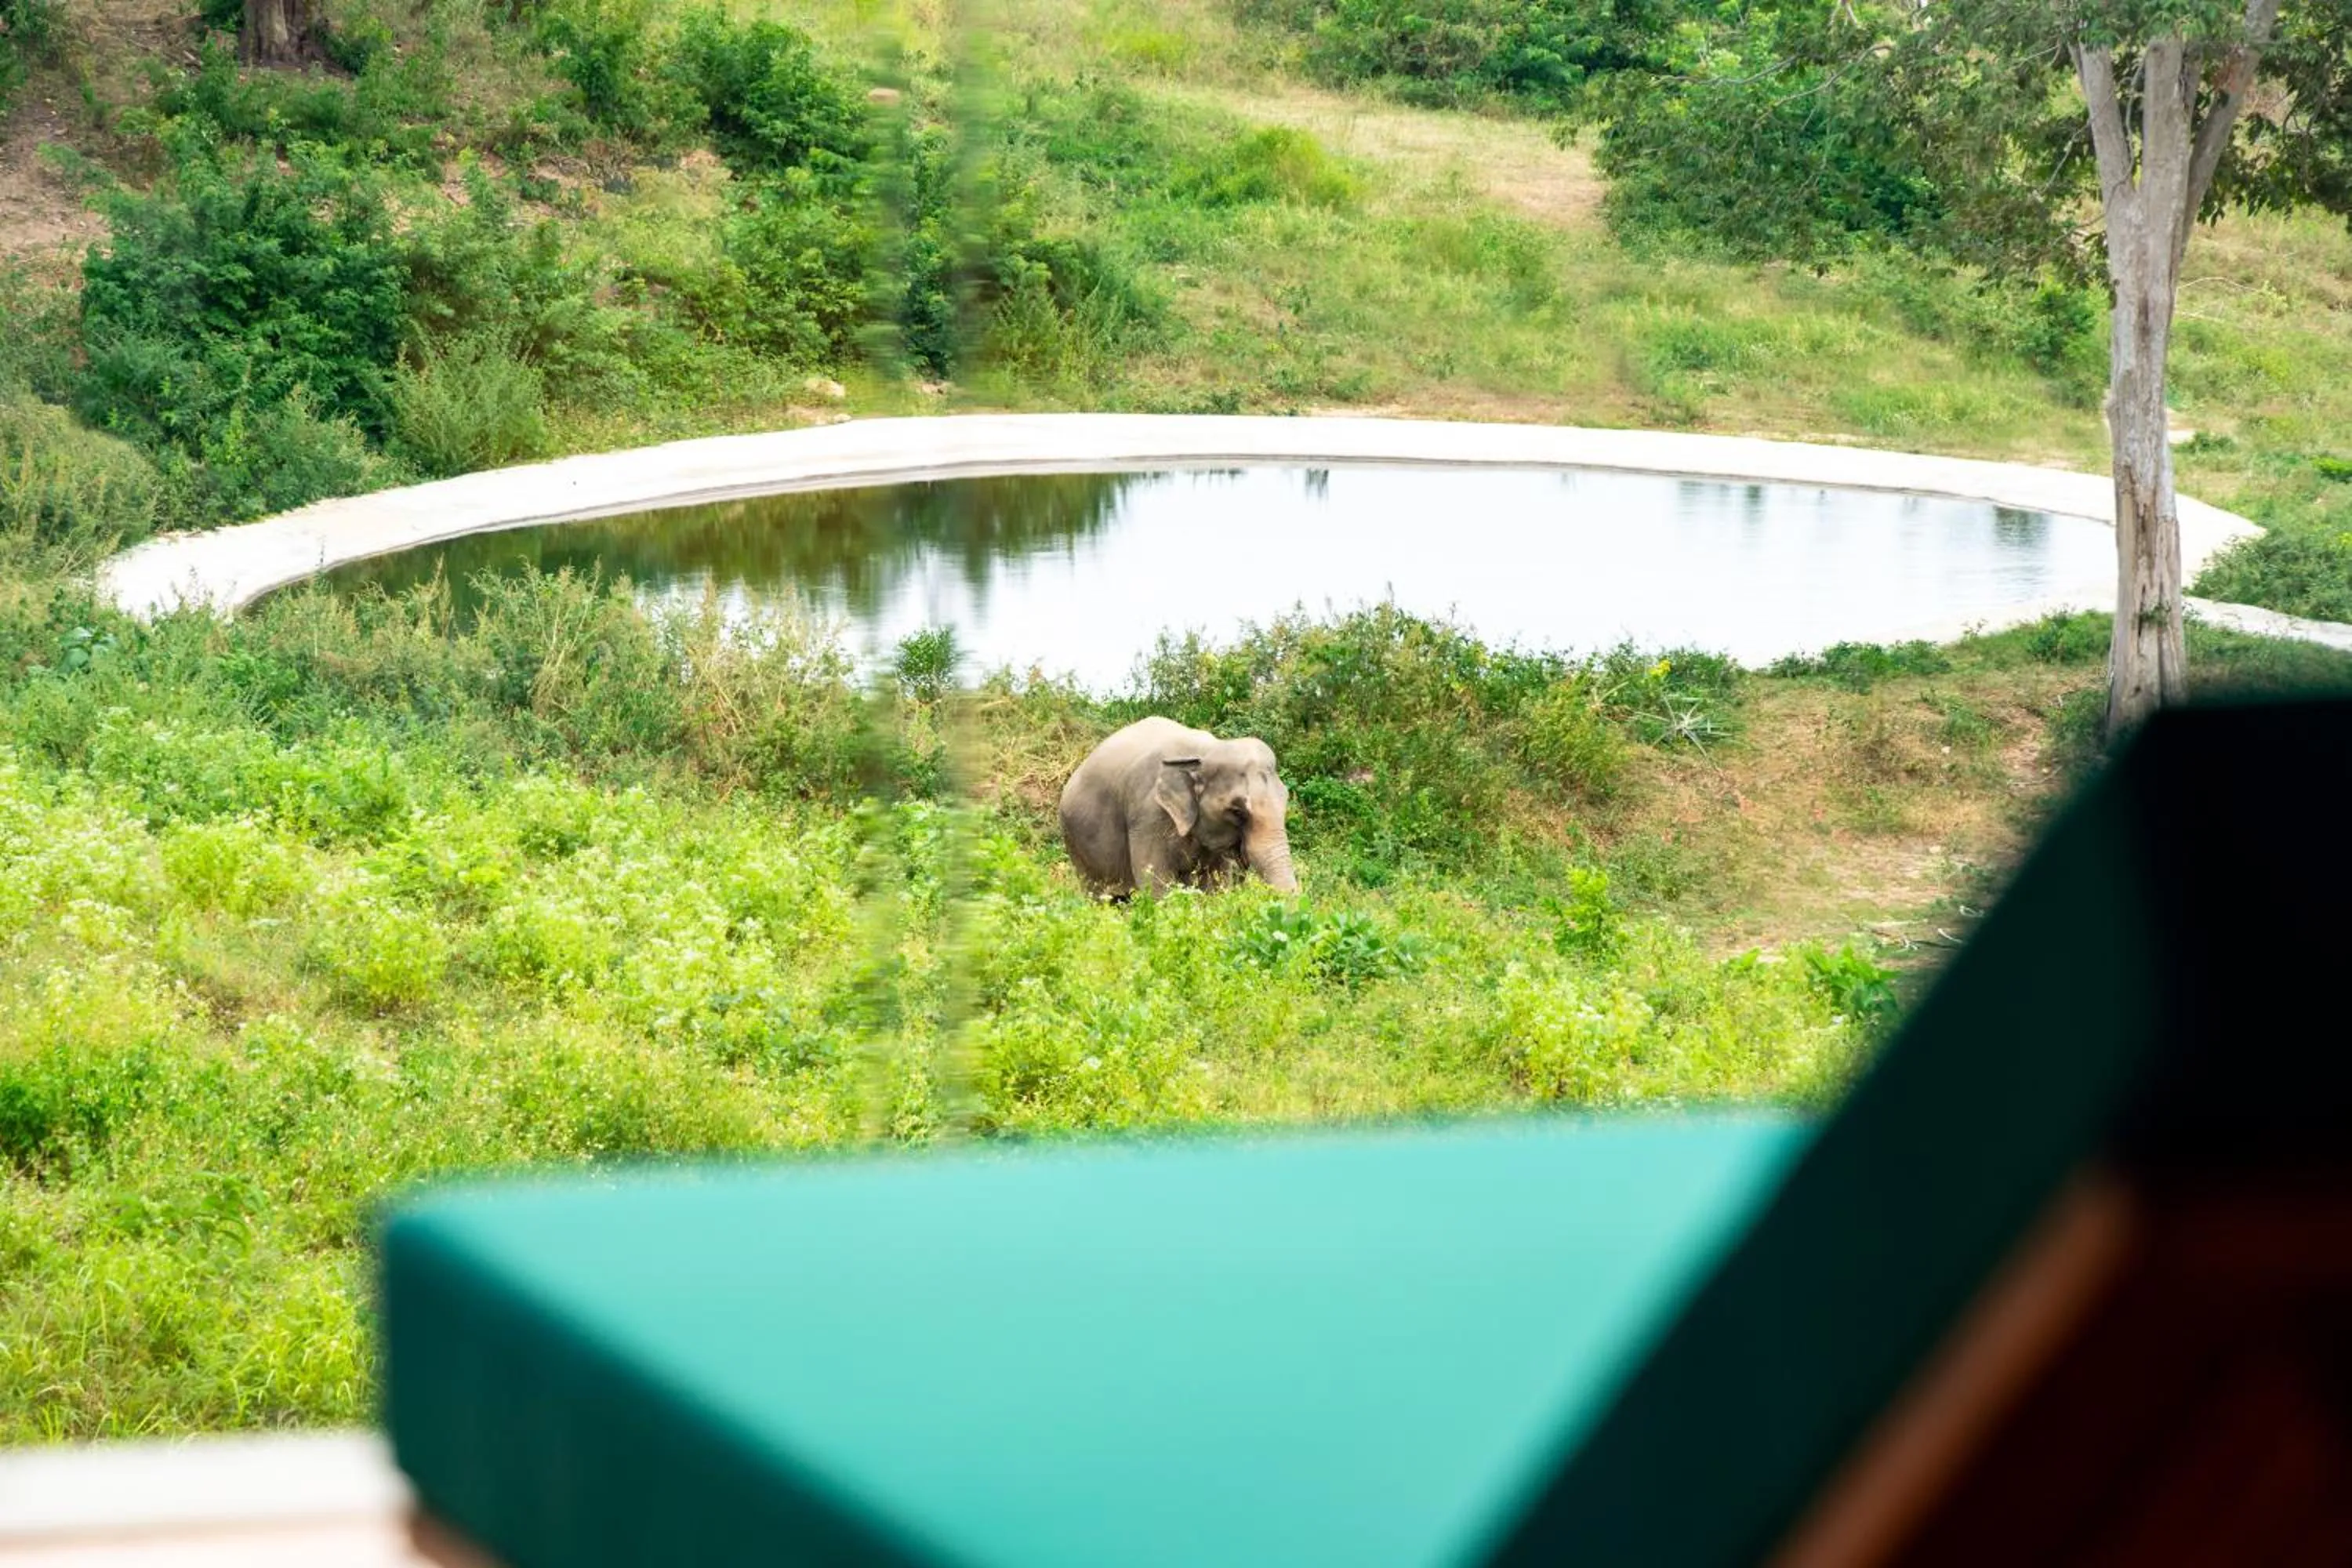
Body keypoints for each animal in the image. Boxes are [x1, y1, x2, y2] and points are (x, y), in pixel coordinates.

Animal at [1059, 717, 1299, 899]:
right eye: (1237, 811)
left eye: (1286, 800)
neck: (1206, 752)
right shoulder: (1147, 818)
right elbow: (1155, 883)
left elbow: (1216, 883)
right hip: (1076, 847)